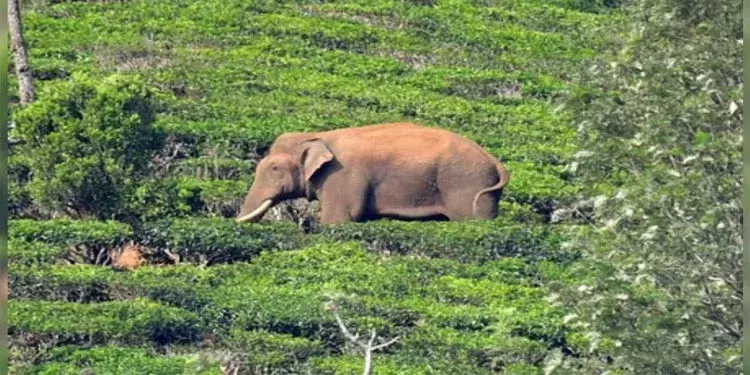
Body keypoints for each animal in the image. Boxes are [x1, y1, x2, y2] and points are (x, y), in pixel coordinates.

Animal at [236, 122, 512, 226]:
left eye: (274, 168)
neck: (318, 135)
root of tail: (495, 162)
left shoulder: (342, 177)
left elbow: (339, 219)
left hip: (466, 185)